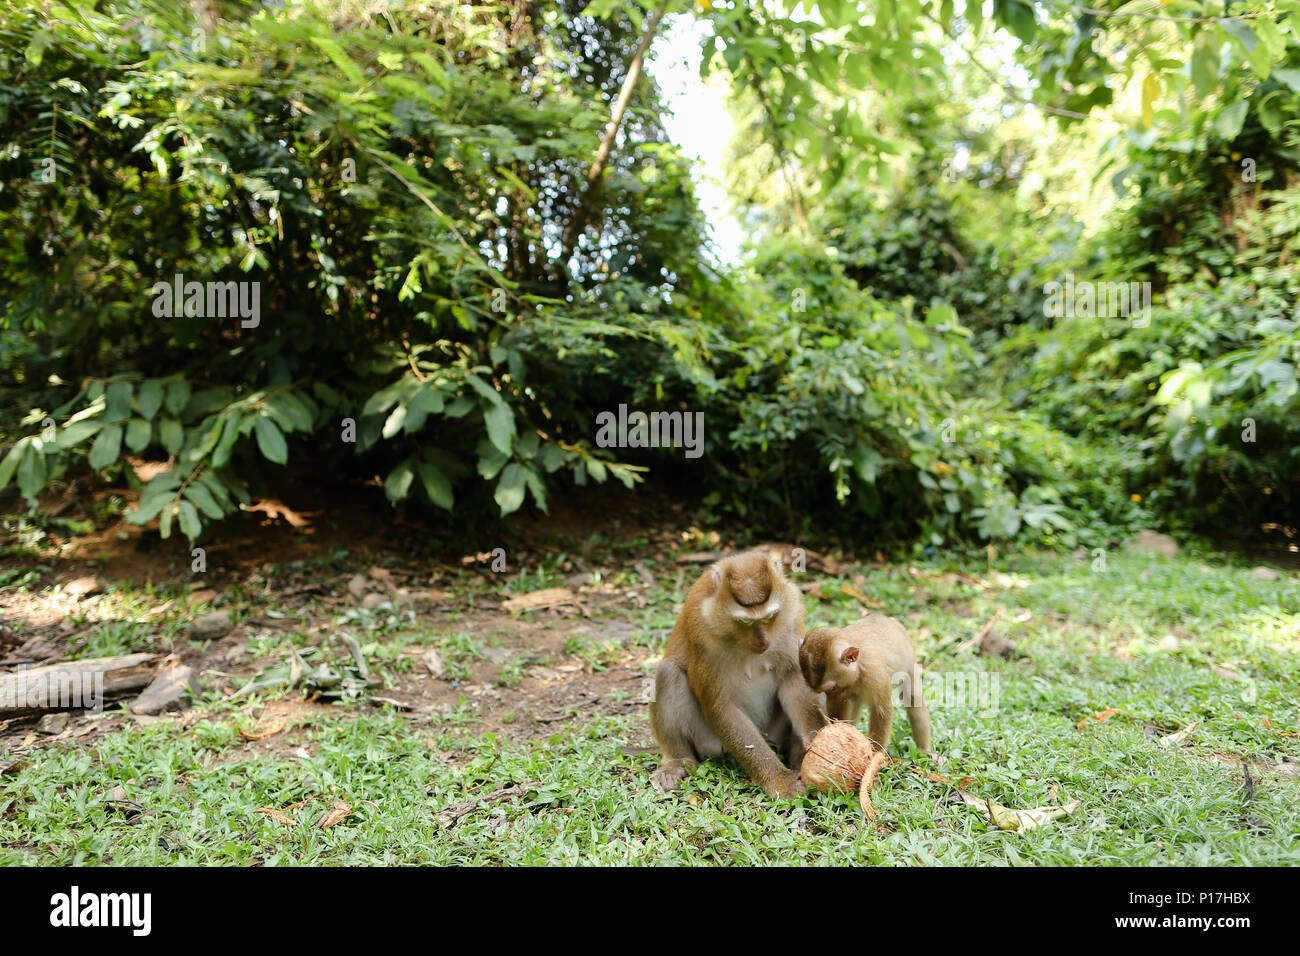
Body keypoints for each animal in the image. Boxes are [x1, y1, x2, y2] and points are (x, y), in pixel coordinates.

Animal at [647, 548, 821, 796]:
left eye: (770, 617)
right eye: (744, 622)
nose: (763, 641)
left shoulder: (791, 615)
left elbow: (793, 677)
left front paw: (815, 739)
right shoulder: (702, 633)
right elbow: (722, 706)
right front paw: (779, 780)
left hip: (773, 735)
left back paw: (798, 759)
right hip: (709, 742)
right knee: (667, 672)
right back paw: (676, 762)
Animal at [795, 616, 930, 759]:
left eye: (831, 688)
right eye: (824, 691)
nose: (833, 696)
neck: (858, 667)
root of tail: (890, 619)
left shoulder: (874, 673)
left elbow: (882, 710)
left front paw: (875, 754)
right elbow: (839, 707)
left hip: (910, 662)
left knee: (913, 698)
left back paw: (923, 748)